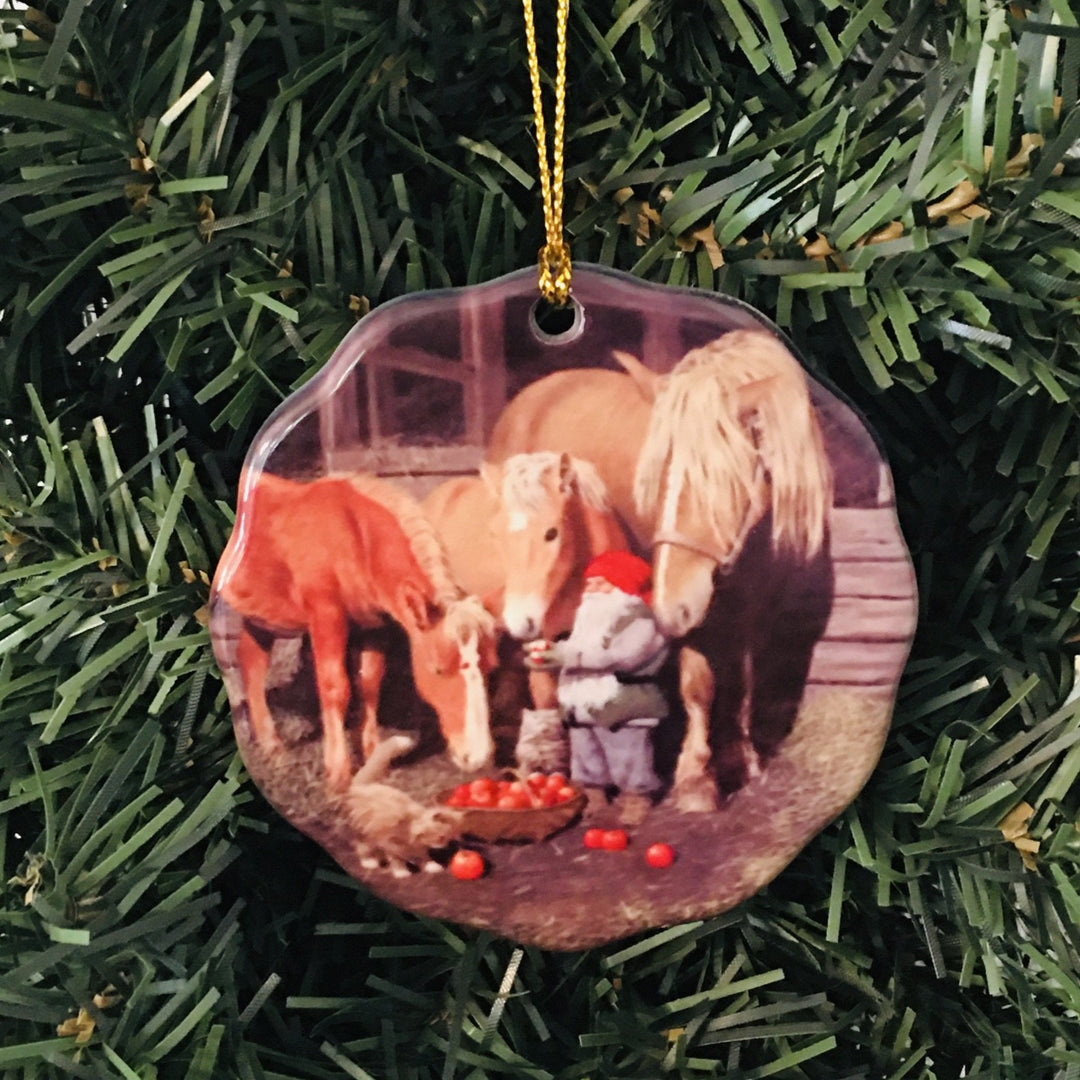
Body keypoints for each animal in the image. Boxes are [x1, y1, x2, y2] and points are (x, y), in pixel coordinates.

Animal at [212, 470, 498, 786]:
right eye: (437, 670)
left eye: (491, 669)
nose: (476, 756)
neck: (356, 538)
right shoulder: (326, 615)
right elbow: (336, 687)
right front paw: (338, 773)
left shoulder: (375, 625)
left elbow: (370, 682)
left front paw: (374, 757)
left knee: (251, 659)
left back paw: (272, 749)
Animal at [490, 332, 833, 807]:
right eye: (654, 480)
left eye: (723, 481)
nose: (670, 608)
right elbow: (698, 685)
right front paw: (696, 779)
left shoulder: (755, 610)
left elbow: (743, 685)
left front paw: (742, 760)